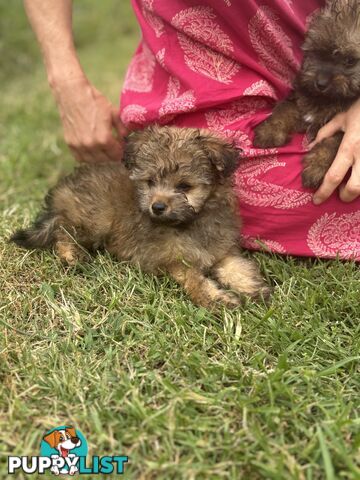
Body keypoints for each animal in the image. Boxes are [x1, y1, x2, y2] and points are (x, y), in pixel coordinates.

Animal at [10, 125, 270, 310]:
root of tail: (62, 191)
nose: (158, 206)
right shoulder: (174, 261)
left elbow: (236, 267)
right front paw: (217, 299)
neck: (191, 222)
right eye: (150, 182)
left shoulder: (221, 249)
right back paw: (71, 255)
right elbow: (196, 281)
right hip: (95, 220)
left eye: (184, 186)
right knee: (63, 231)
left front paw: (251, 287)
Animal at [253, 0, 360, 191]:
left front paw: (316, 166)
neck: (327, 99)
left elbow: (333, 143)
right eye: (317, 52)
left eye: (350, 61)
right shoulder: (300, 98)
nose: (320, 83)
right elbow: (284, 111)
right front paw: (270, 131)